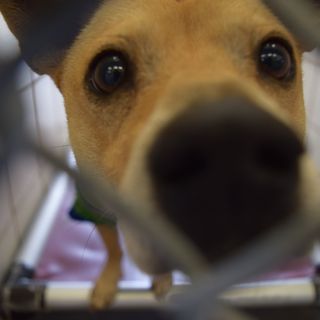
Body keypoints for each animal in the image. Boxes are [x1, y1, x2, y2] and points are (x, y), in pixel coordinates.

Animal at [1, 0, 318, 310]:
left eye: (275, 58)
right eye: (110, 73)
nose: (228, 145)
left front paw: (163, 281)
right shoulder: (93, 207)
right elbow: (113, 249)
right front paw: (108, 281)